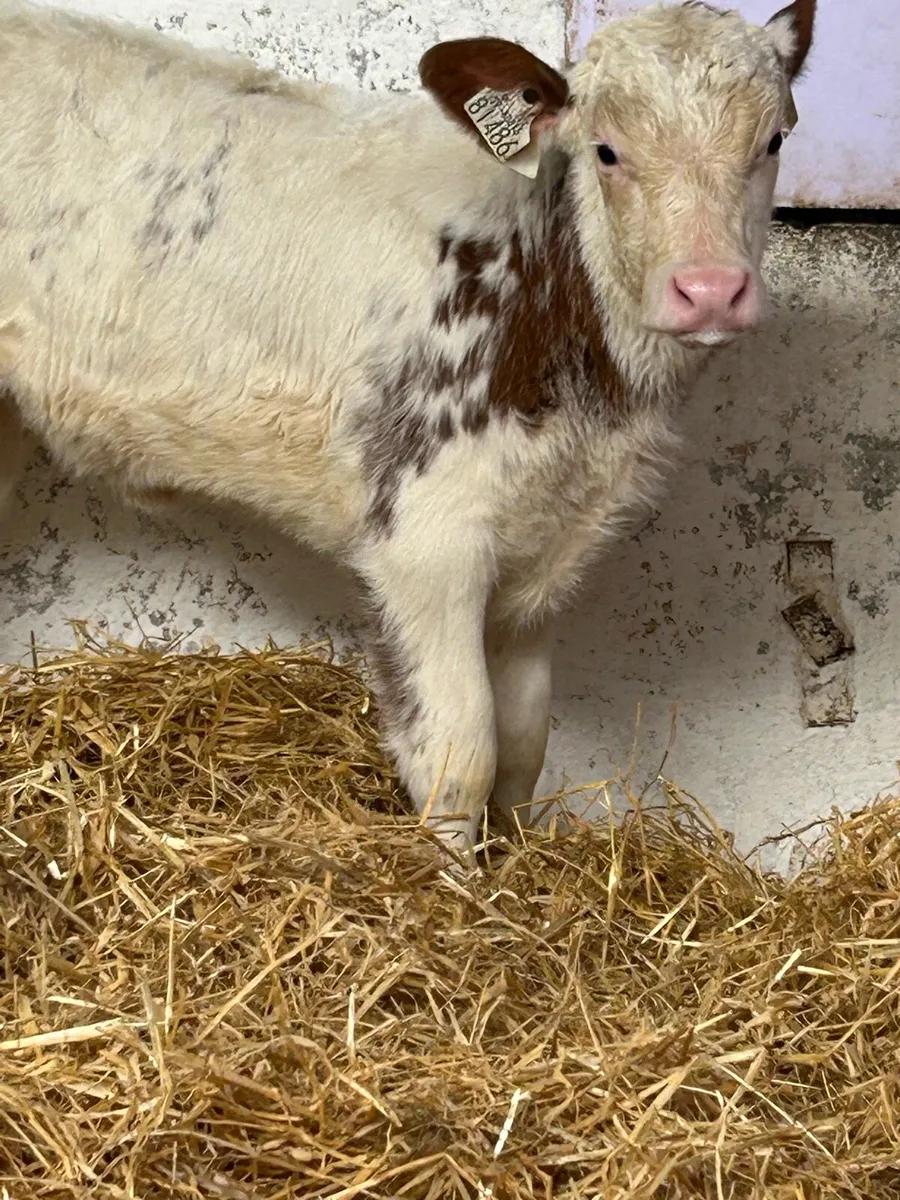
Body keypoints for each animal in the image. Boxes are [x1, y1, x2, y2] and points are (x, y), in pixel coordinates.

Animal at [0, 0, 816, 862]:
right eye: (607, 150)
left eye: (772, 141)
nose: (711, 289)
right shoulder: (427, 537)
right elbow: (463, 750)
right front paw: (457, 885)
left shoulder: (545, 550)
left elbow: (523, 744)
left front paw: (518, 866)